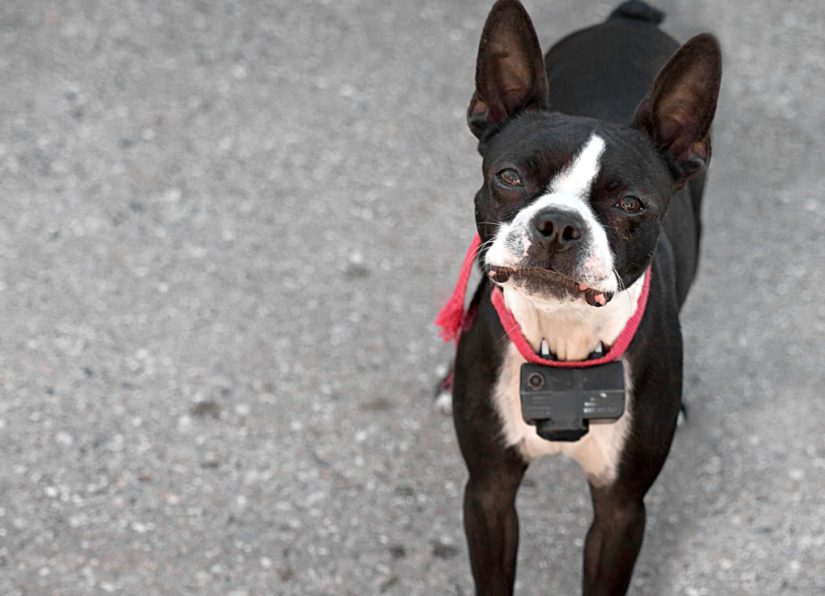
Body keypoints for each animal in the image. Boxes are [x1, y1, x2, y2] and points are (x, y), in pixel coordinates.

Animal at [438, 0, 720, 592]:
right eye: (509, 176)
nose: (558, 224)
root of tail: (628, 19)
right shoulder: (489, 493)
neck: (563, 337)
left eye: (631, 204)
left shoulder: (621, 510)